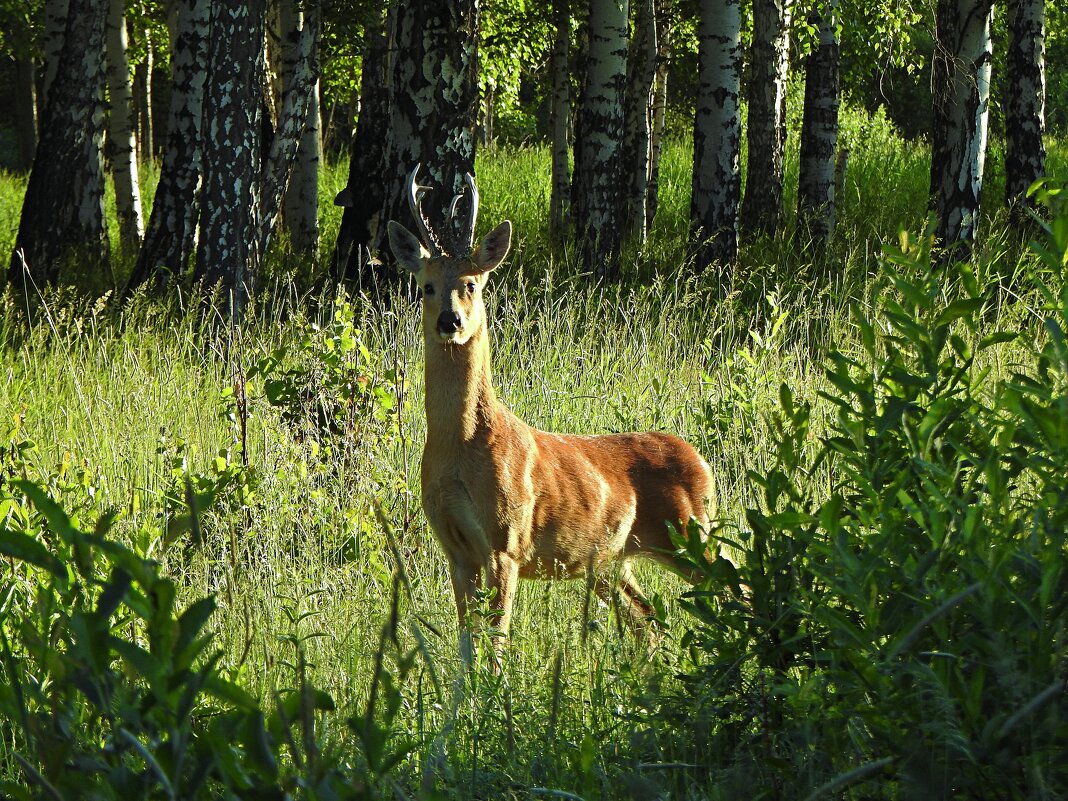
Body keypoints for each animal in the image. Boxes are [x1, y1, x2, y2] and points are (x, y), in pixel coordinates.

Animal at [386, 163, 717, 666]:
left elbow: (497, 644)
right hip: (612, 562)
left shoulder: (507, 541)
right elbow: (467, 645)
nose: (450, 321)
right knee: (649, 620)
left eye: (472, 284)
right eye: (426, 286)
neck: (460, 449)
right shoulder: (455, 549)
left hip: (690, 532)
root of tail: (701, 461)